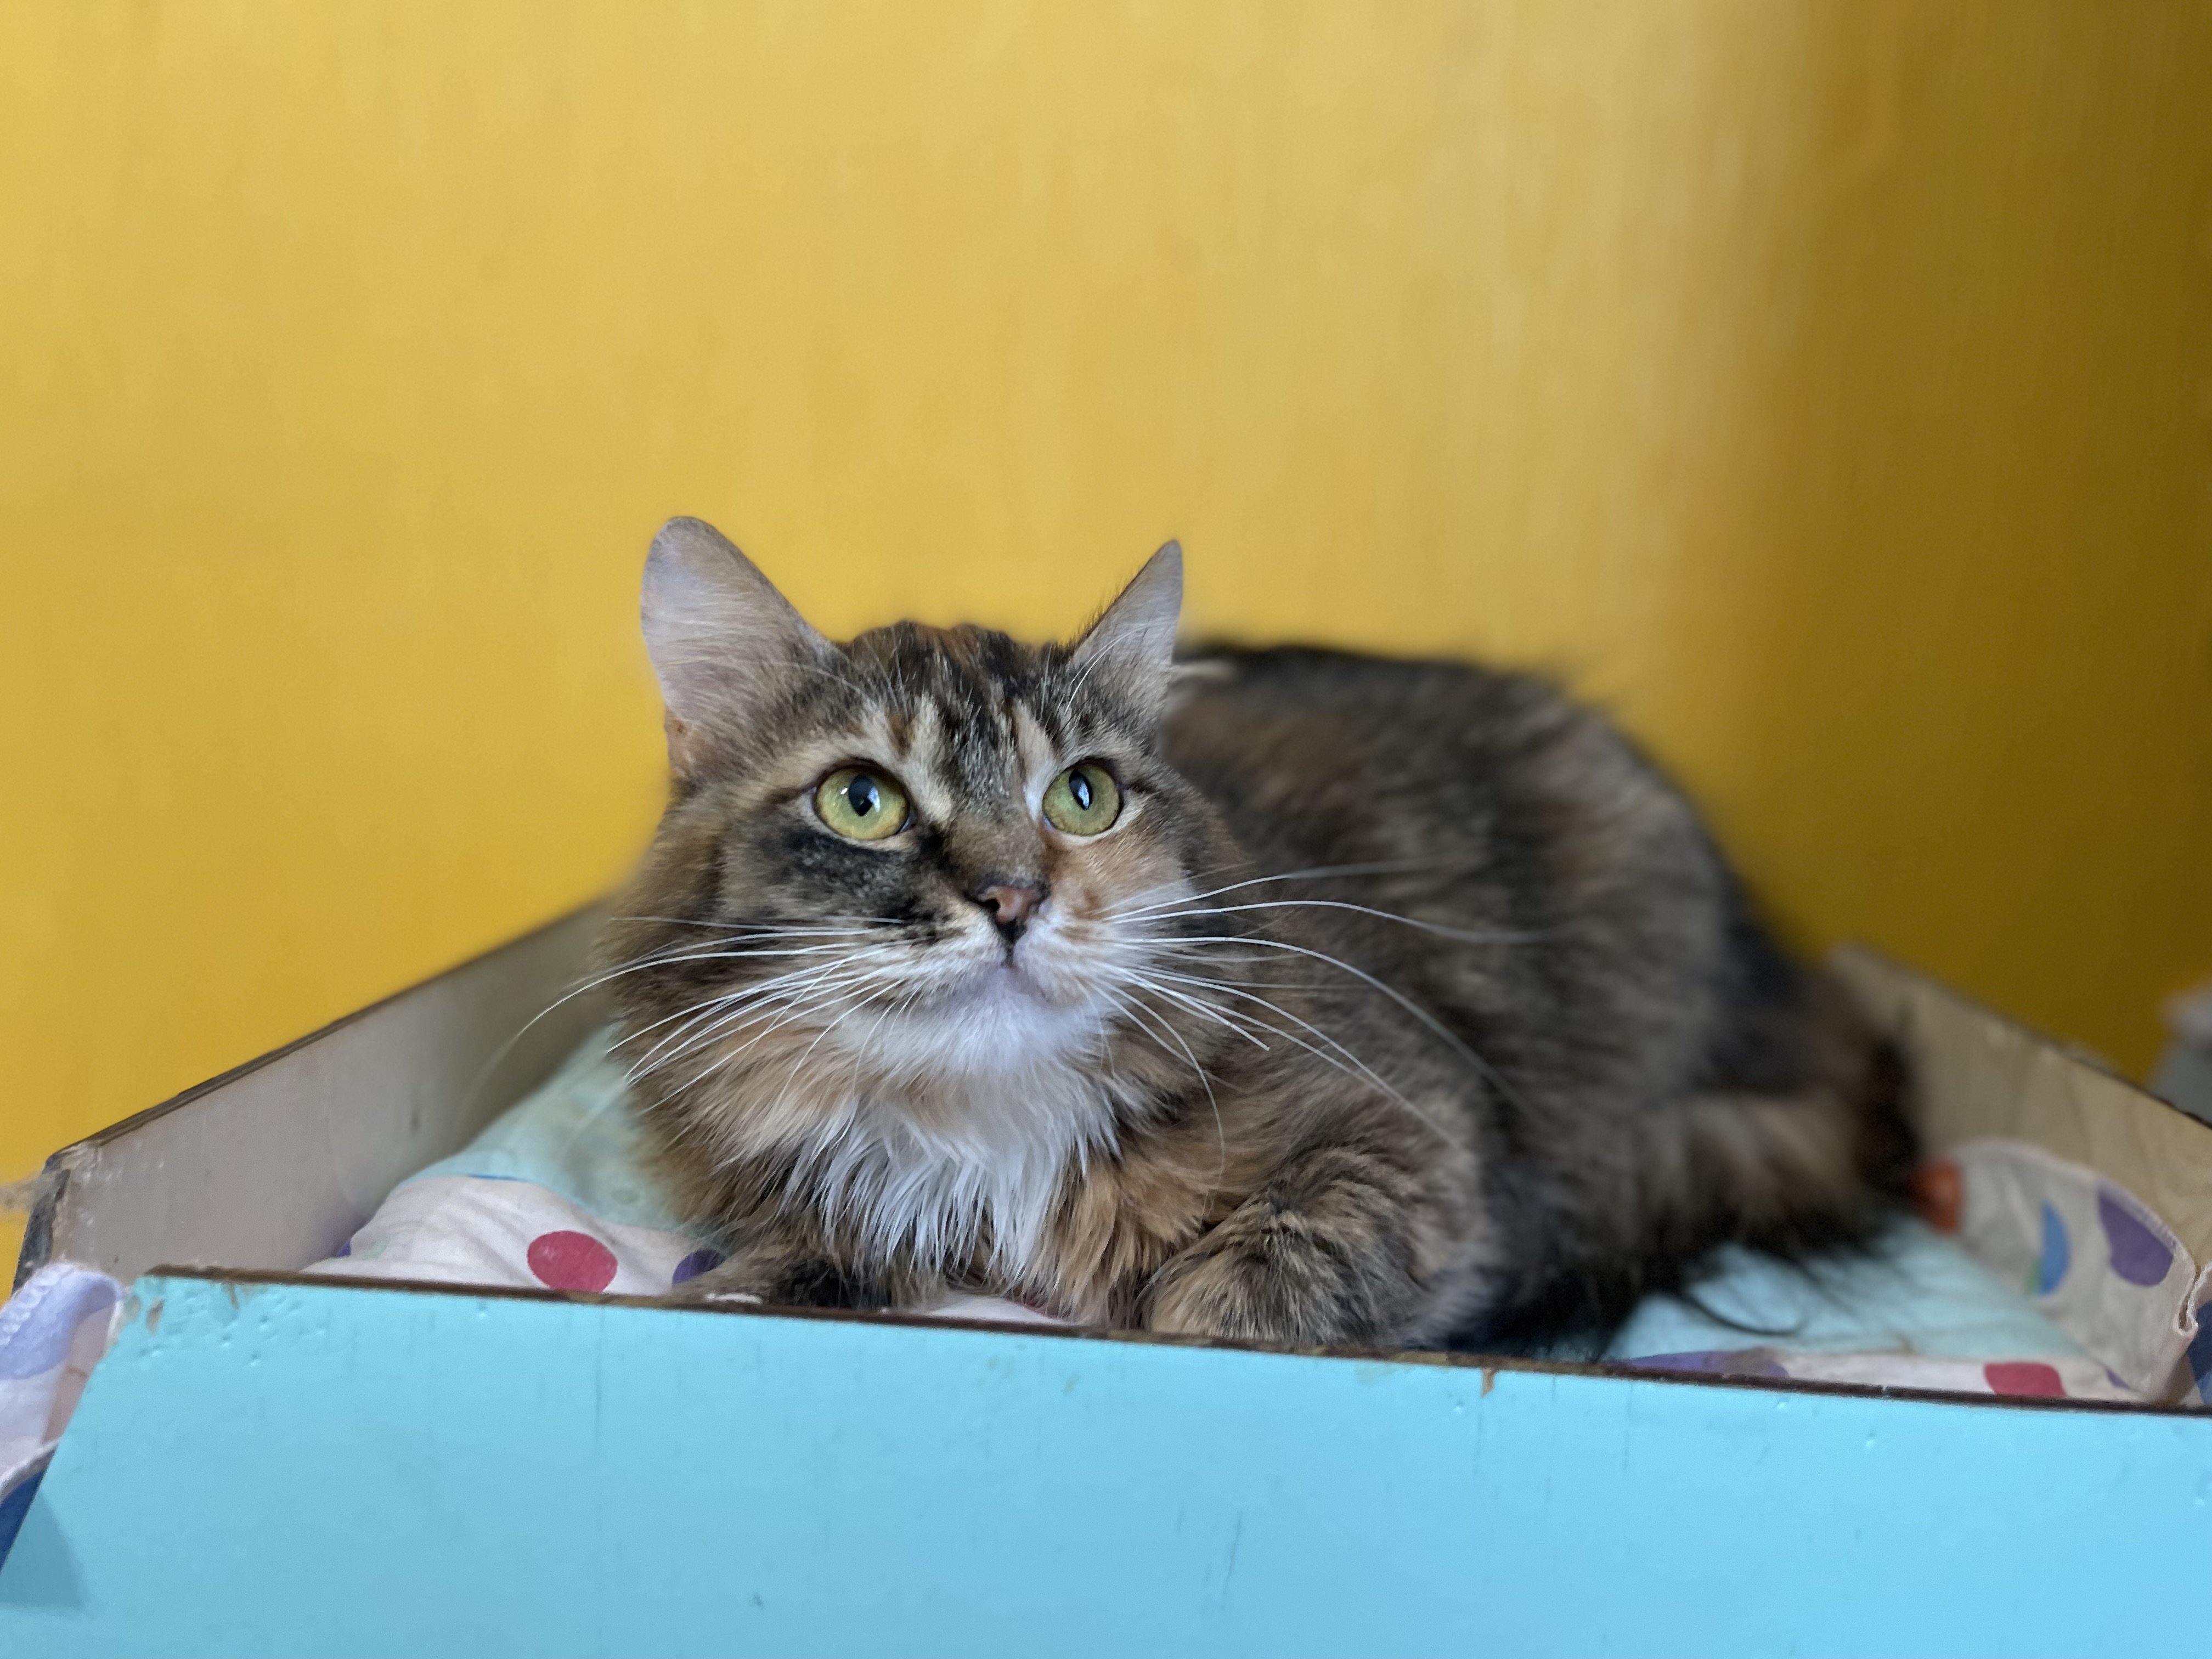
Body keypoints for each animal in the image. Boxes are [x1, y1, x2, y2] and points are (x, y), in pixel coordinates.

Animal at [600, 516, 1914, 1350]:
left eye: (1084, 796)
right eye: (860, 801)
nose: (1015, 898)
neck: (988, 1129)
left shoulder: (1419, 1144)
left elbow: (1235, 1294)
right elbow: (790, 1266)